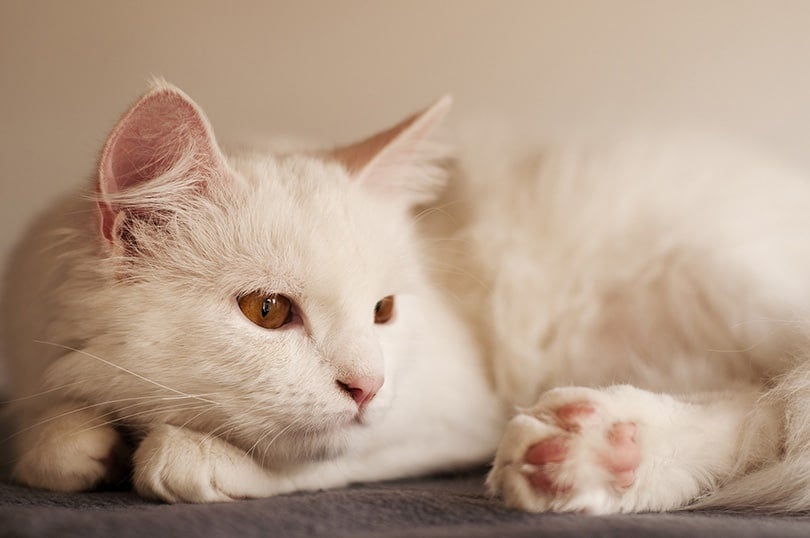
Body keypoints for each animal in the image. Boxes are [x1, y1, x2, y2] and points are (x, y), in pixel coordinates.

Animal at [4, 78, 808, 510]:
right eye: (268, 312)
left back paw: (589, 447)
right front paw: (85, 441)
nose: (368, 384)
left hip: (713, 278)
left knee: (777, 407)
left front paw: (183, 455)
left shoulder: (458, 410)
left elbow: (297, 461)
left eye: (384, 311)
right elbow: (50, 441)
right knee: (760, 410)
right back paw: (605, 453)